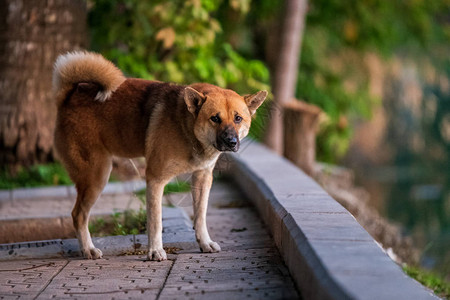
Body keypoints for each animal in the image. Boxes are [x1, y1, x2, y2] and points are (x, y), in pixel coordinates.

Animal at [51, 51, 268, 260]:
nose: (231, 142)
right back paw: (88, 249)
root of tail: (69, 96)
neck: (186, 128)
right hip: (96, 175)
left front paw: (205, 243)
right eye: (215, 118)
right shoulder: (156, 179)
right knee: (78, 215)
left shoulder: (202, 178)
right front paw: (155, 251)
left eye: (238, 118)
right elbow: (155, 222)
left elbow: (200, 216)